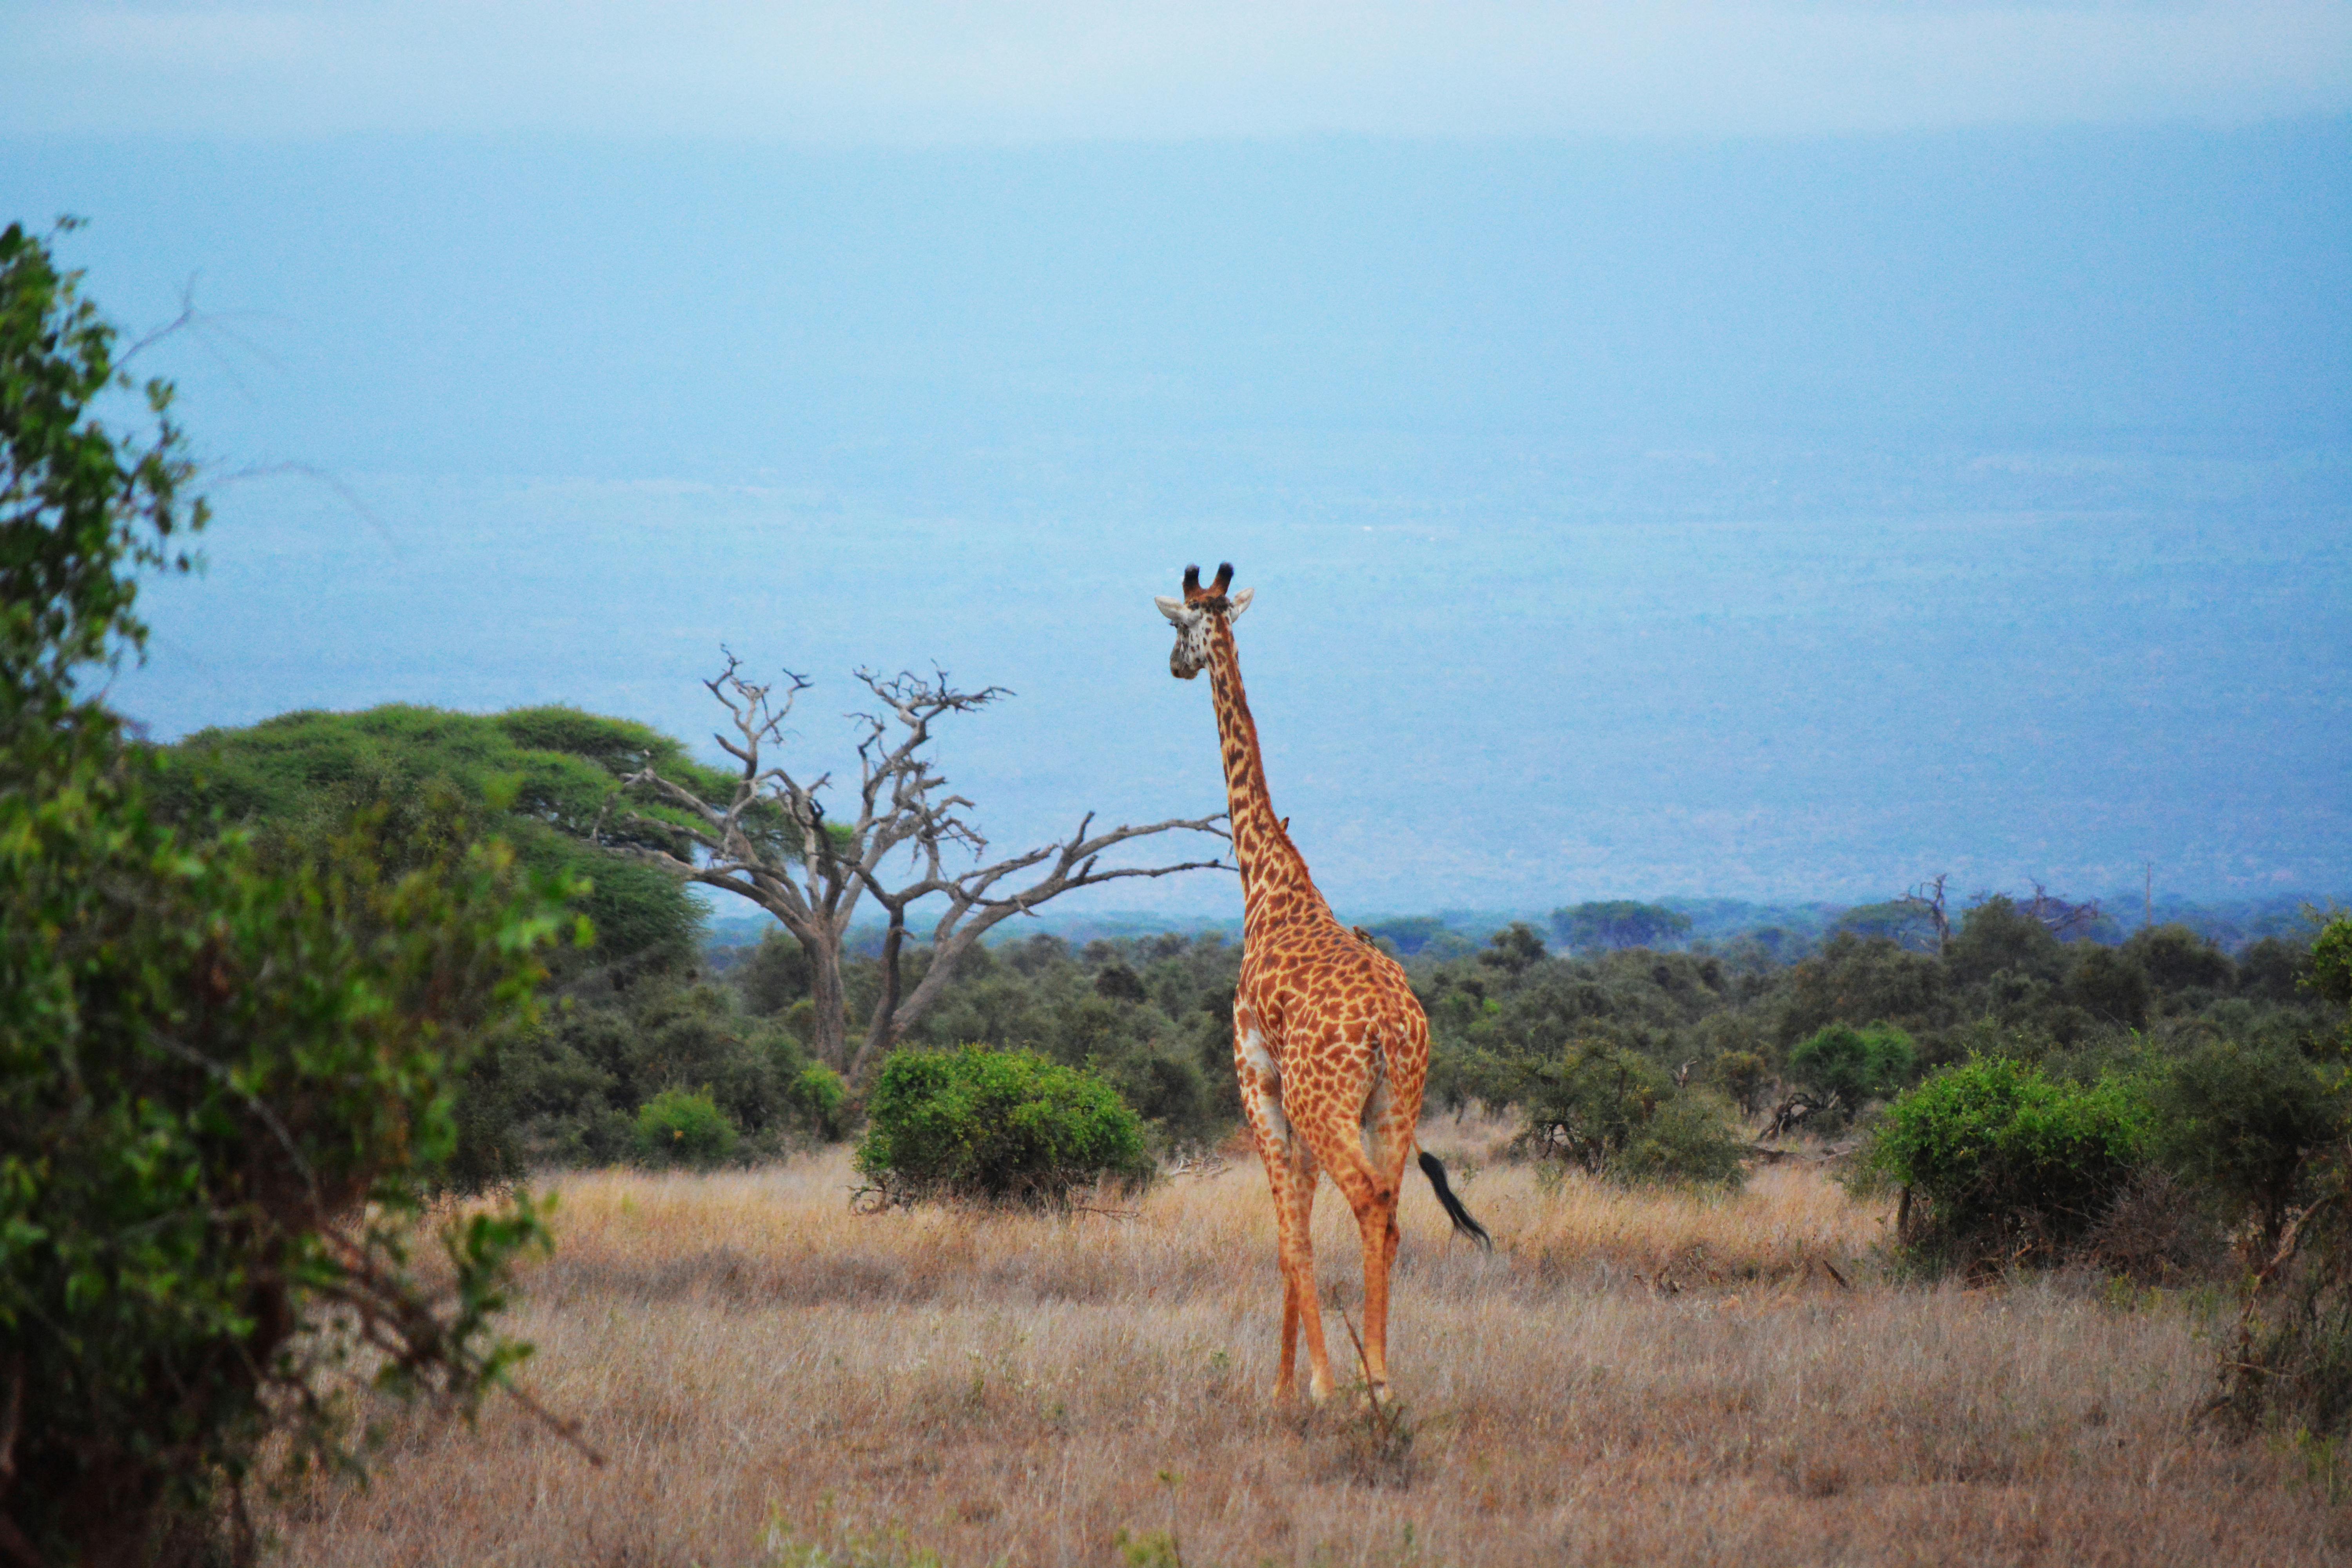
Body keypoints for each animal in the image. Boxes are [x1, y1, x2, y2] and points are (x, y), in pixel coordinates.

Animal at [1157, 564, 1486, 1410]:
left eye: (1176, 625)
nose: (1175, 666)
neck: (1269, 884)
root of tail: (1390, 1029)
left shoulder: (1259, 1079)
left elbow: (1289, 1235)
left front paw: (1308, 1386)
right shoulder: (1296, 1099)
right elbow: (1298, 1228)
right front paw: (1289, 1380)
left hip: (1329, 1101)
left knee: (1368, 1200)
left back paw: (1370, 1379)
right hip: (1396, 1104)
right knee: (1393, 1212)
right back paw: (1384, 1374)